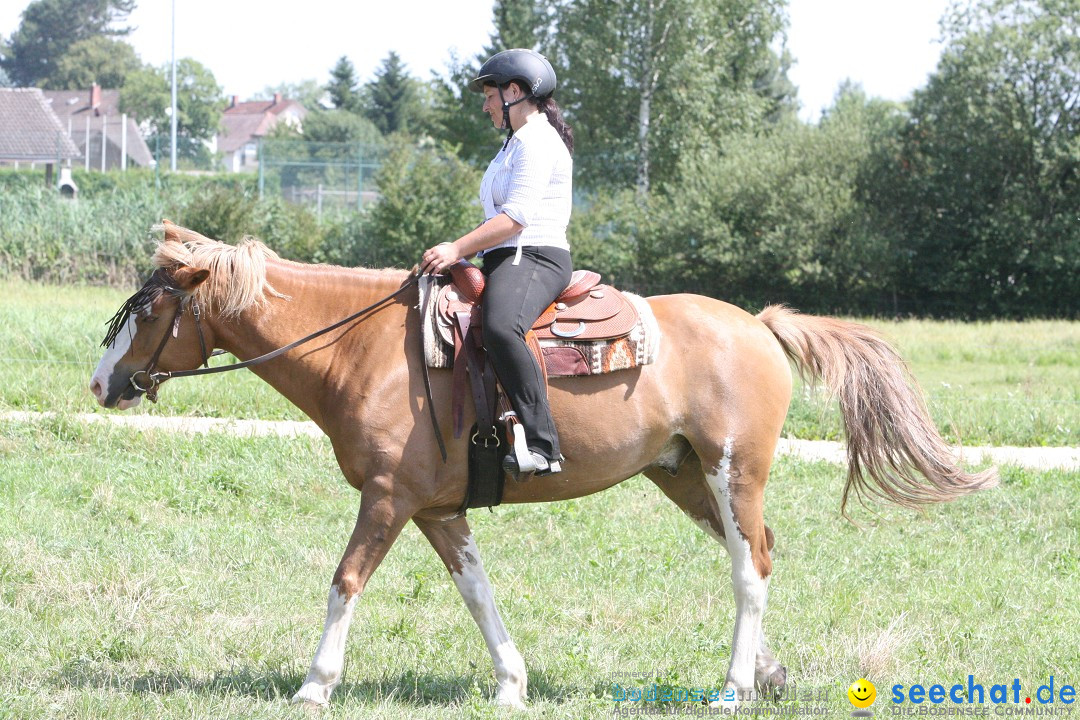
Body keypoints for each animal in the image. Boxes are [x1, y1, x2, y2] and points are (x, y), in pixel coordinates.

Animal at [90, 222, 993, 712]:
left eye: (147, 307)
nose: (101, 383)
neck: (363, 351)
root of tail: (760, 324)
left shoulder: (386, 498)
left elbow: (345, 581)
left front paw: (315, 685)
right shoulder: (434, 508)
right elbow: (476, 590)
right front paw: (511, 682)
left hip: (734, 470)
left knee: (750, 566)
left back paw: (734, 685)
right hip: (684, 475)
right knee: (752, 556)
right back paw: (764, 672)